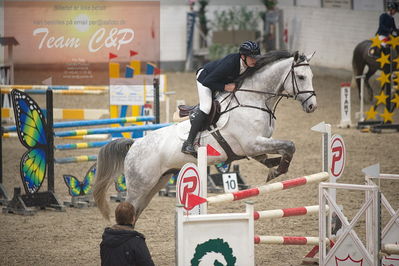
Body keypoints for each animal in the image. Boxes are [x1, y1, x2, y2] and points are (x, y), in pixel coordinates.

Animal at [94, 50, 318, 220]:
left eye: (311, 76)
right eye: (301, 77)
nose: (312, 106)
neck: (253, 100)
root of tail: (135, 143)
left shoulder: (256, 145)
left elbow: (277, 151)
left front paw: (273, 166)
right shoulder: (252, 143)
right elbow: (289, 145)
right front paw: (278, 170)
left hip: (156, 183)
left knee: (135, 212)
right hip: (139, 186)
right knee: (127, 208)